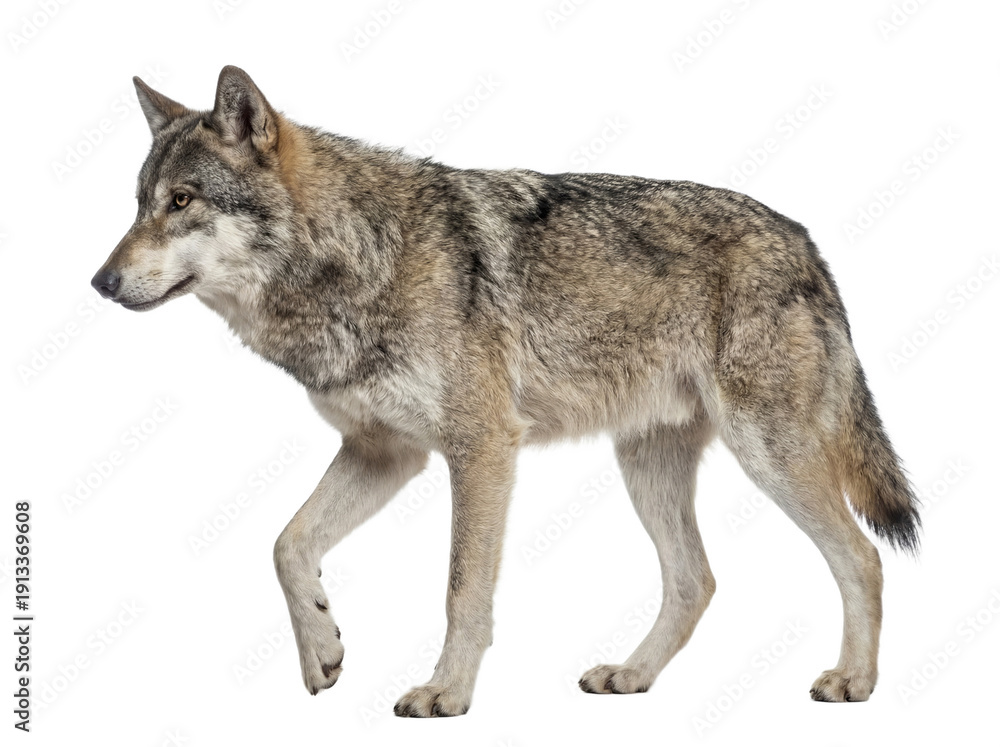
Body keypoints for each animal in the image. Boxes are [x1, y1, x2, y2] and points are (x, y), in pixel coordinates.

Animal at [91, 66, 920, 716]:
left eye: (183, 201)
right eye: (138, 202)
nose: (100, 282)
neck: (358, 258)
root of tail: (805, 240)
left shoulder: (482, 447)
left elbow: (462, 588)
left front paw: (446, 693)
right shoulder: (385, 453)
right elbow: (286, 544)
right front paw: (321, 648)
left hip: (769, 454)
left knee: (863, 558)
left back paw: (853, 680)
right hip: (647, 466)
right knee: (696, 581)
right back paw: (633, 675)